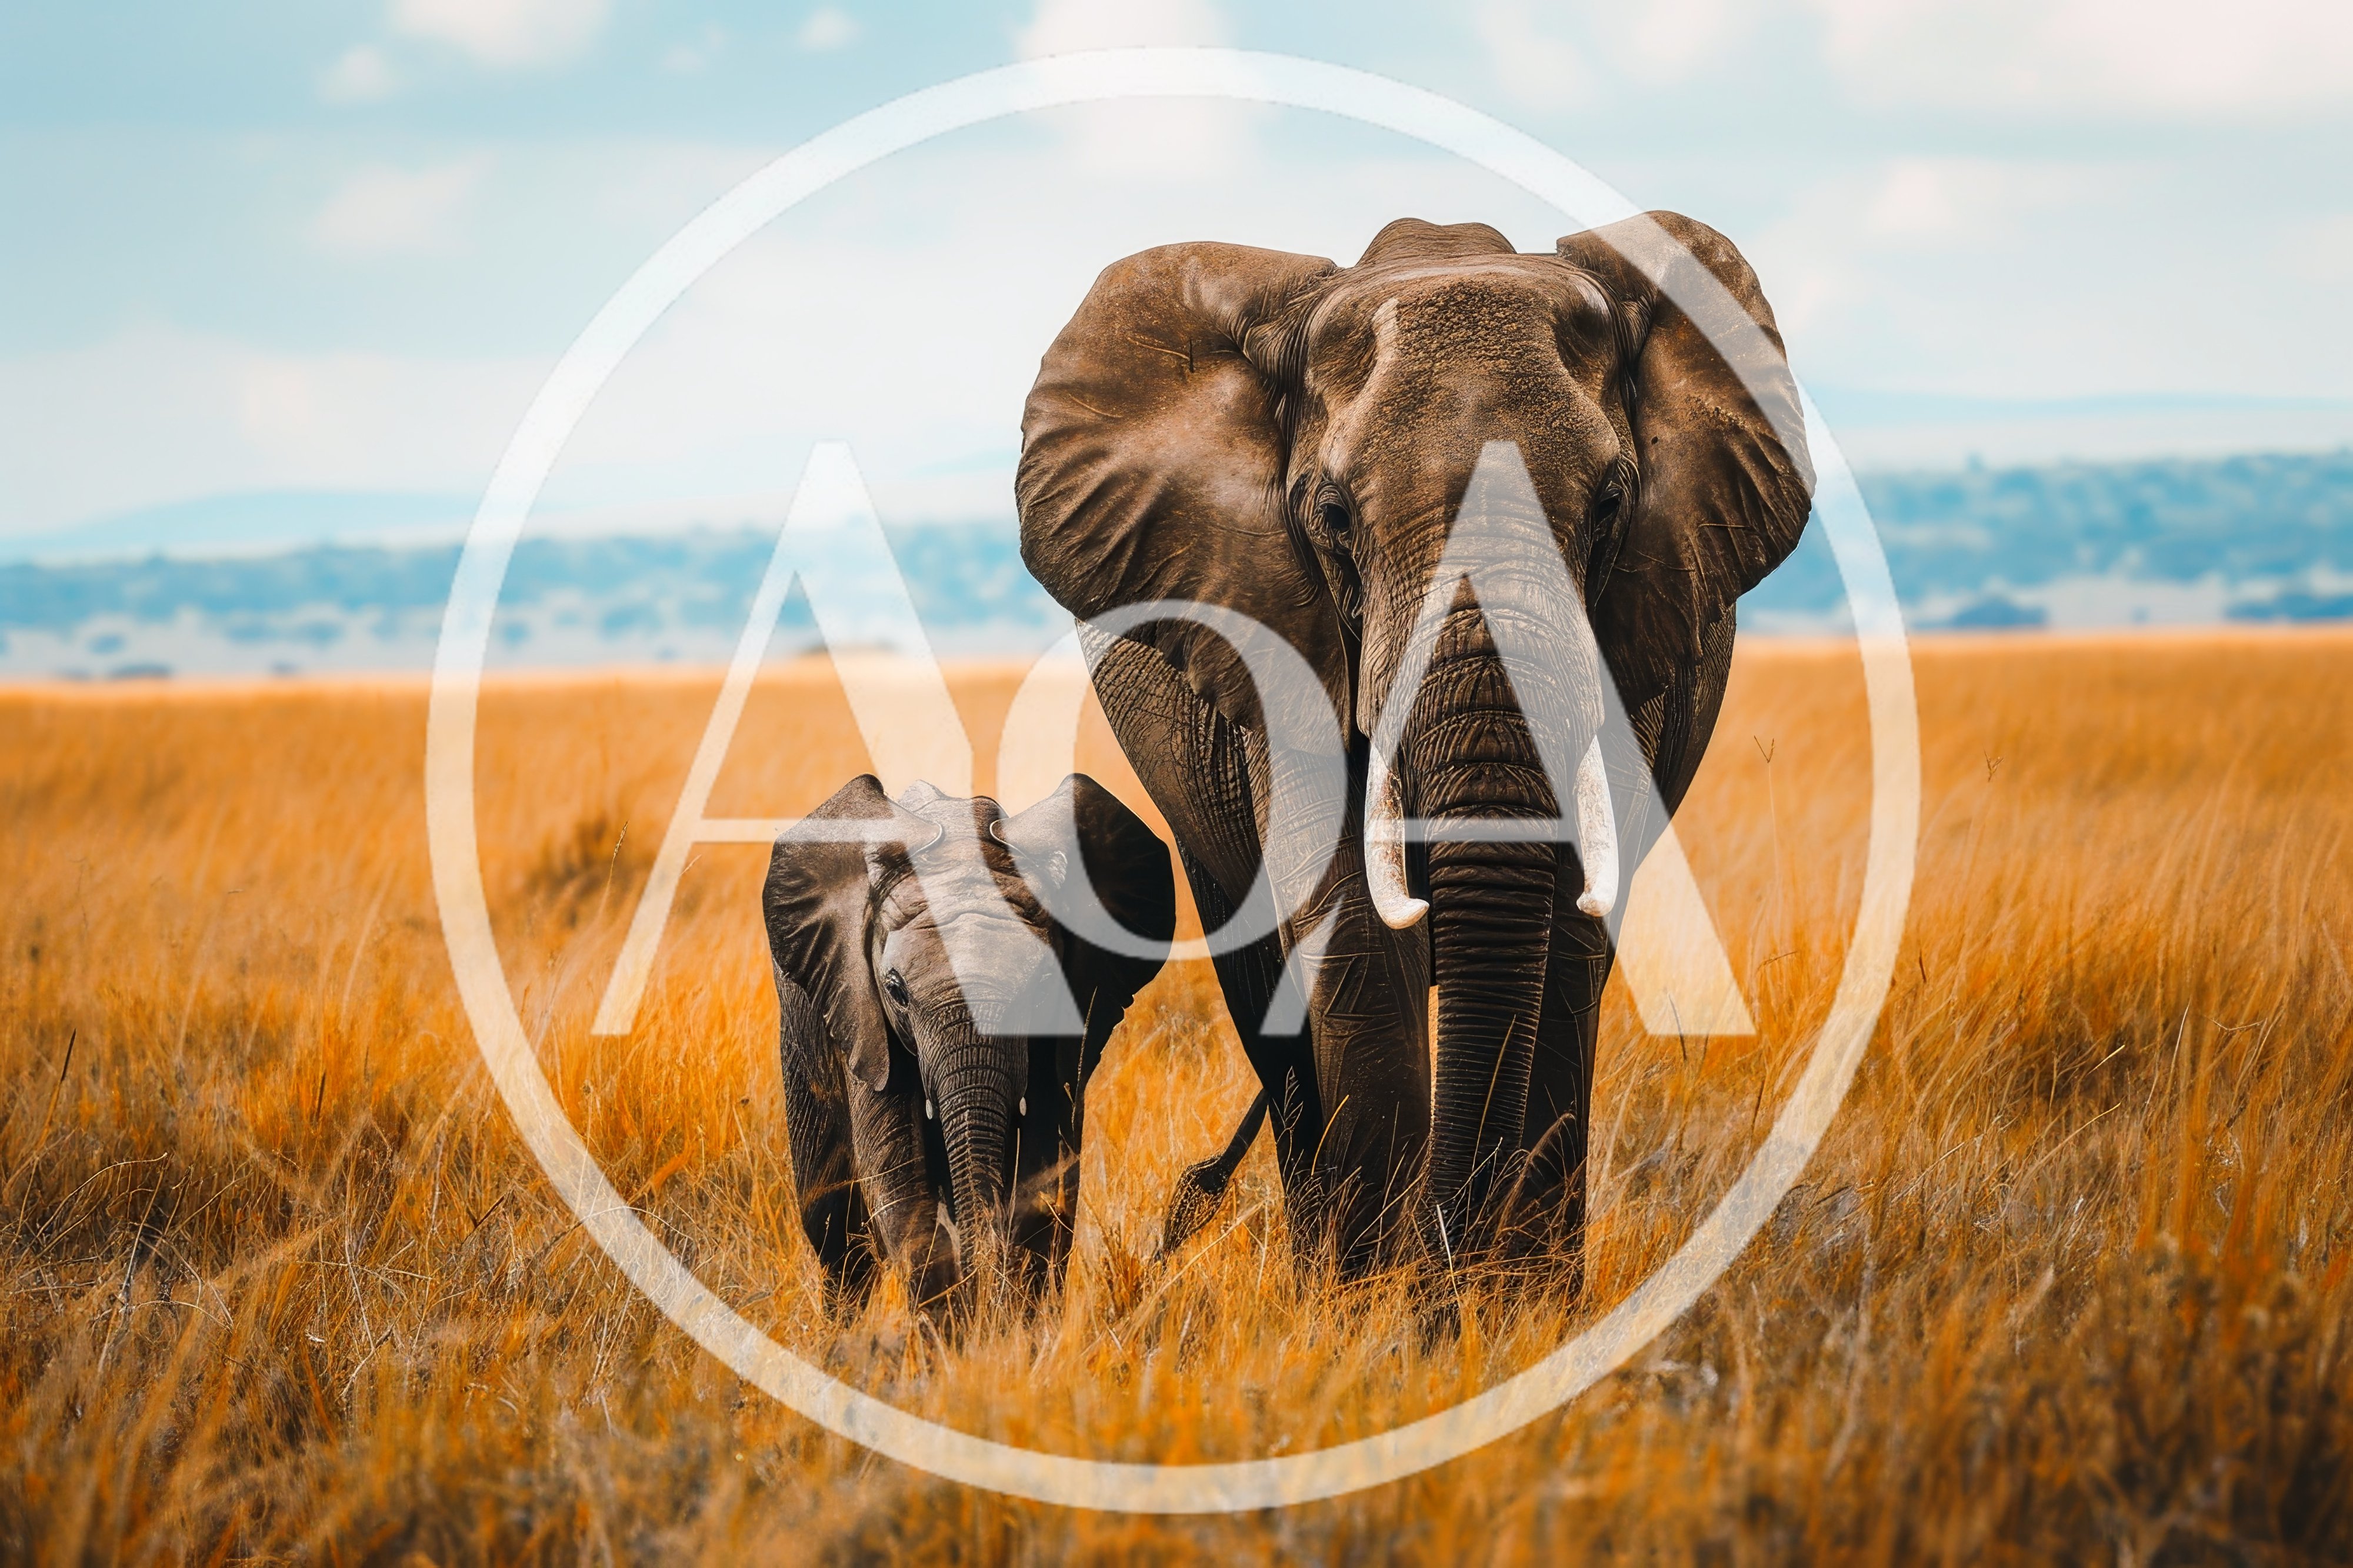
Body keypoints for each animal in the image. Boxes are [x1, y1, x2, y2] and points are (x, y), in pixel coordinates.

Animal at [762, 773, 1174, 1312]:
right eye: (896, 990)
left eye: (1045, 985)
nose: (984, 1294)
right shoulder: (863, 1014)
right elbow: (898, 1181)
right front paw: (957, 1329)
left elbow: (1048, 1175)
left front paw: (1012, 1325)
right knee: (833, 1229)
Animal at [1016, 212, 1813, 1281]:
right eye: (1332, 516)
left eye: (1610, 504)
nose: (1449, 1256)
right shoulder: (1283, 643)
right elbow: (1352, 931)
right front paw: (1381, 1308)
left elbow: (1565, 937)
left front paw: (1518, 1303)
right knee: (1267, 994)